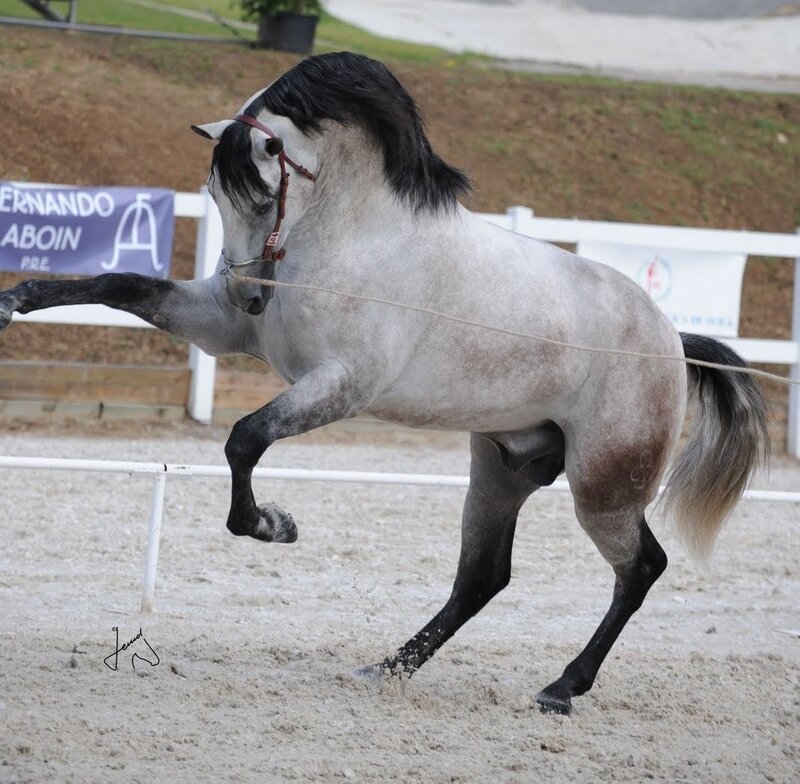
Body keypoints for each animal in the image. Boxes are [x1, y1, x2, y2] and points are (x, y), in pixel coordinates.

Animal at [0, 52, 768, 715]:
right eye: (215, 194)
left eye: (261, 198)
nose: (249, 294)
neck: (352, 235)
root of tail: (671, 342)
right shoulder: (221, 328)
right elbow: (121, 283)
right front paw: (17, 299)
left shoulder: (342, 383)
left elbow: (245, 438)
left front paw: (271, 525)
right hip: (503, 468)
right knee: (484, 577)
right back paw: (388, 668)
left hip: (603, 487)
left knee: (639, 569)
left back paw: (559, 688)